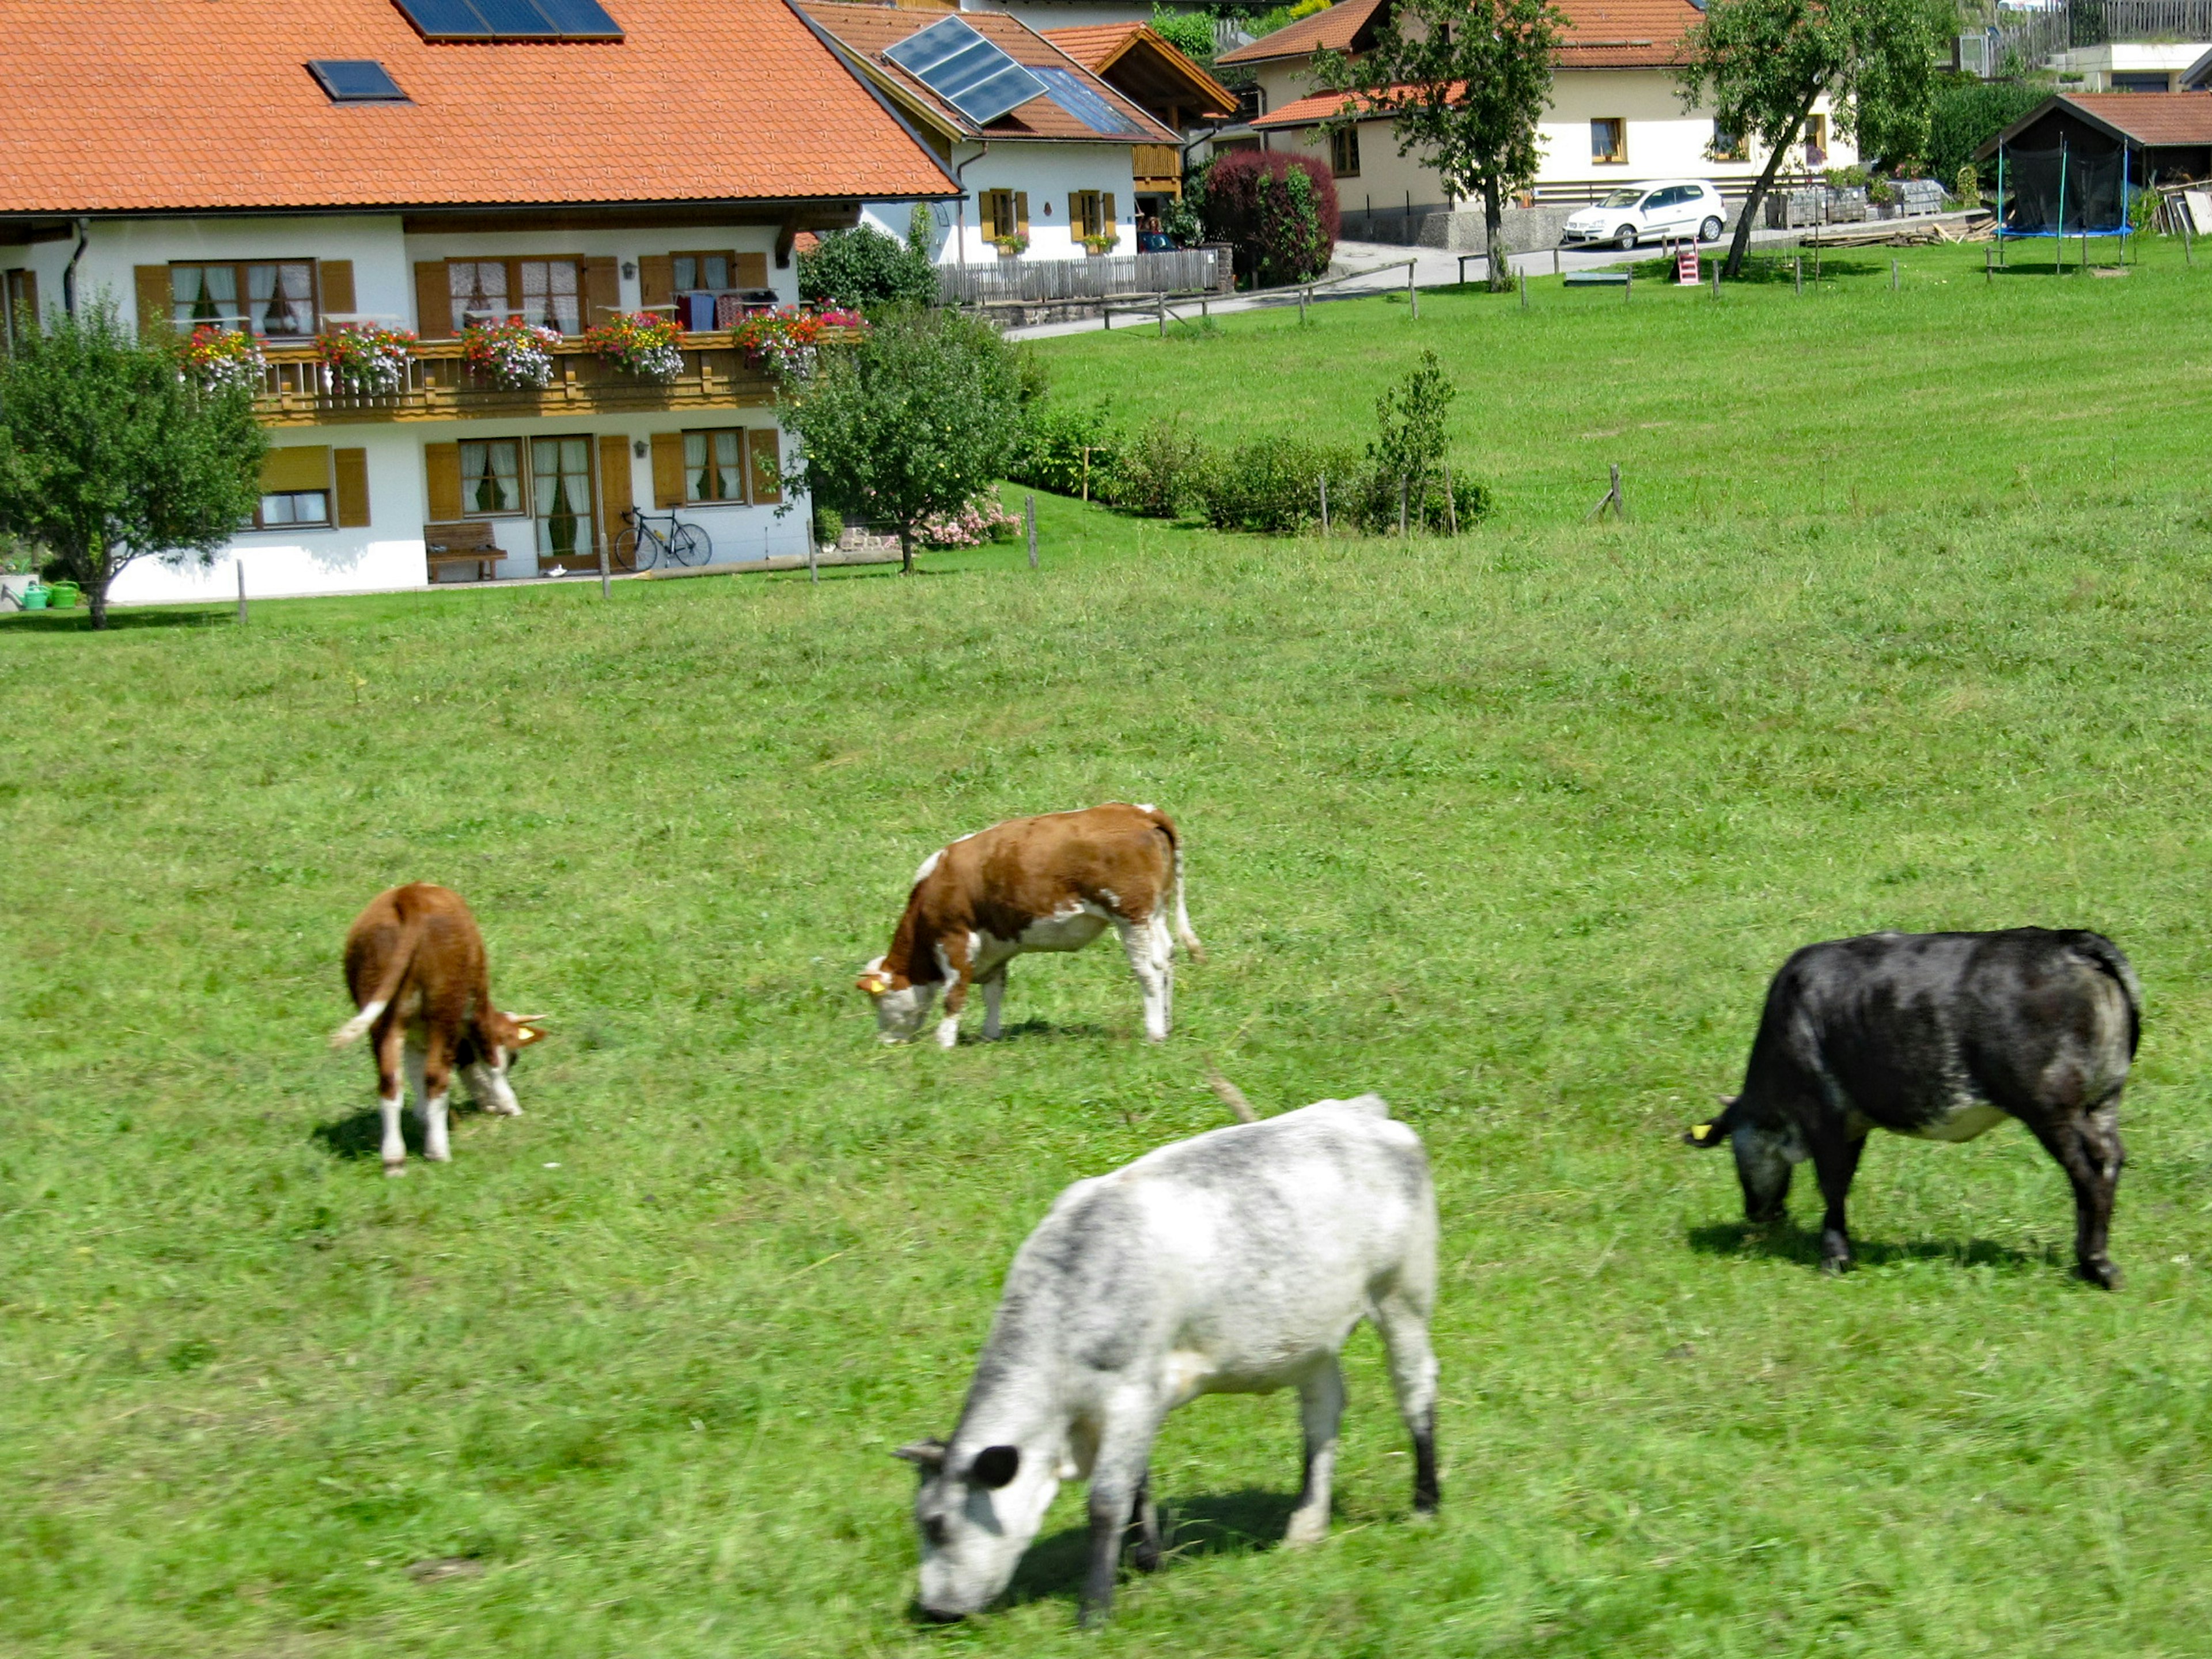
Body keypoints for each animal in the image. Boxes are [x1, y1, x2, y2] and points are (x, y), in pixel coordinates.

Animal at [332, 889, 548, 1176]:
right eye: (513, 1059)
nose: (490, 1106)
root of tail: (410, 894)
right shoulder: (476, 1006)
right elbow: (490, 1059)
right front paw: (509, 1104)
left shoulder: (414, 1036)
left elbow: (414, 1072)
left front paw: (422, 1115)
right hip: (444, 1009)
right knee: (435, 1076)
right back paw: (438, 1151)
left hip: (382, 1017)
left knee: (390, 1083)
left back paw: (394, 1160)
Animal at [858, 805, 1203, 1052]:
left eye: (879, 1001)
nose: (885, 1042)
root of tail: (1140, 812)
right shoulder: (994, 946)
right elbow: (994, 992)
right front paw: (990, 1035)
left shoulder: (956, 937)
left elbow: (954, 994)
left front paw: (944, 1042)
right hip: (1156, 912)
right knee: (1167, 958)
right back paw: (1167, 1025)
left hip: (1131, 915)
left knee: (1148, 968)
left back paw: (1154, 1032)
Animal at [889, 1097, 1442, 1628]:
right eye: (922, 1521)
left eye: (939, 1525)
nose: (935, 1610)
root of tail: (1361, 1111)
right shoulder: (1129, 1406)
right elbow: (1138, 1481)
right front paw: (1148, 1561)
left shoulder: (1132, 1393)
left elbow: (1106, 1501)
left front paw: (1094, 1611)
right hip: (1310, 1335)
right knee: (1322, 1412)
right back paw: (1305, 1528)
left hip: (1403, 1295)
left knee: (1415, 1389)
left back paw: (1425, 1505)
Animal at [1690, 929, 2141, 1291]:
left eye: (1735, 1148)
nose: (1756, 1213)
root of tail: (2070, 941)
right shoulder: (1854, 1122)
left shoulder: (1823, 1113)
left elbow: (1833, 1183)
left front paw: (1834, 1257)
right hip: (2103, 1099)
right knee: (2110, 1160)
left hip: (2052, 1110)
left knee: (2087, 1172)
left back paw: (2097, 1266)